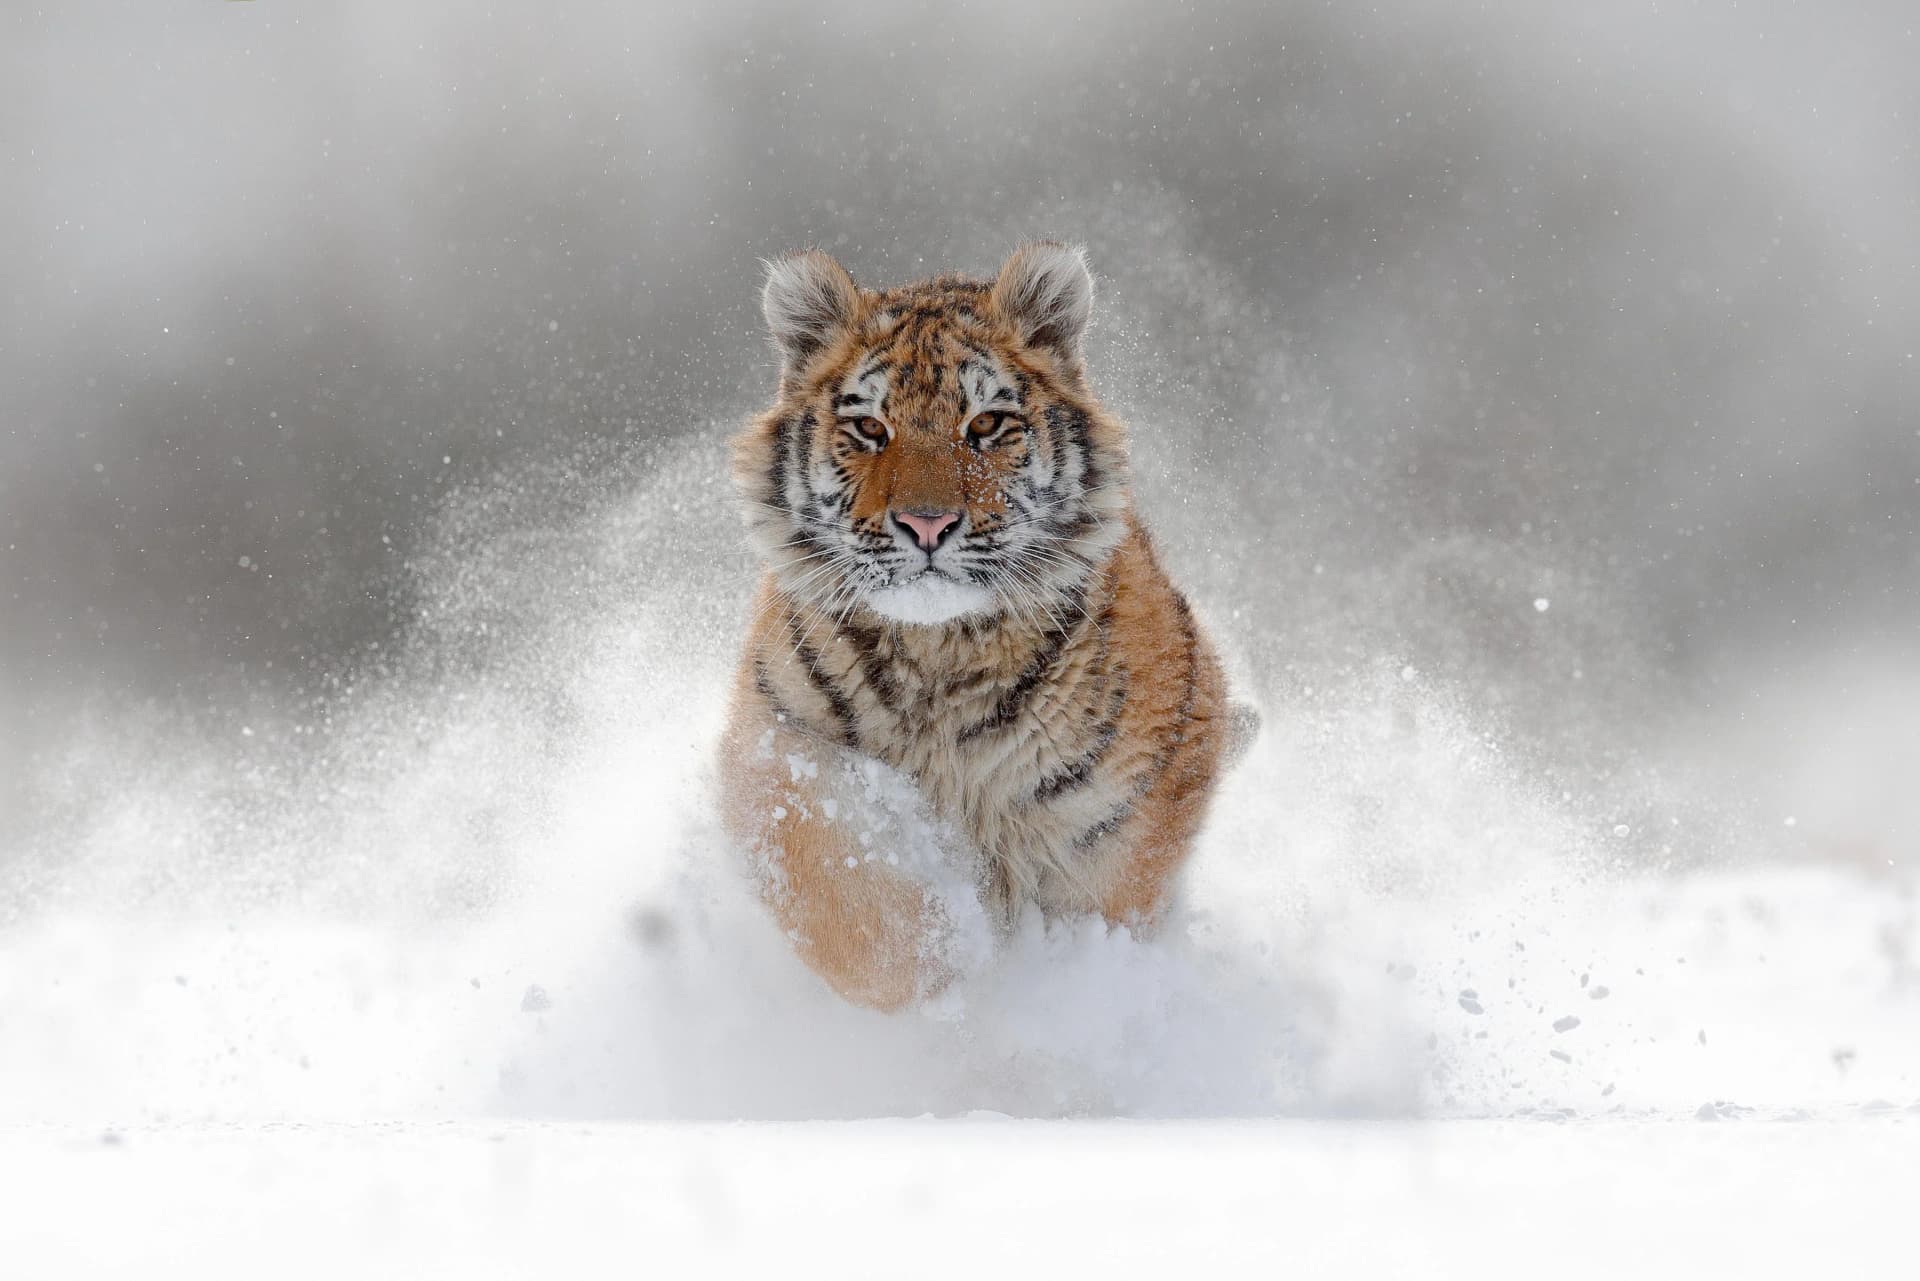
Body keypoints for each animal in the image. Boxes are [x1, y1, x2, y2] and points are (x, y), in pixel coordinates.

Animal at [718, 242, 1249, 1010]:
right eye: (870, 429)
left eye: (986, 425)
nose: (926, 523)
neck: (939, 654)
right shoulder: (775, 747)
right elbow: (844, 895)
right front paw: (943, 968)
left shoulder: (1129, 810)